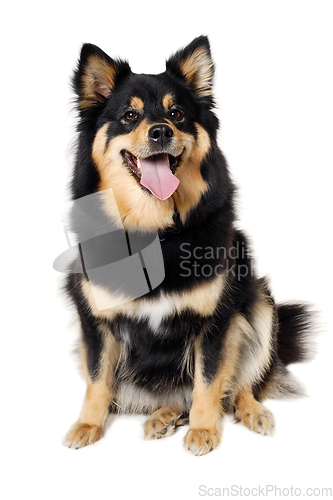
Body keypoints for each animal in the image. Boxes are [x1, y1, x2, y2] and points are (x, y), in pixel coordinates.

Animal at [62, 37, 312, 456]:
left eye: (176, 114)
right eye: (129, 116)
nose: (161, 132)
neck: (153, 229)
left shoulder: (215, 322)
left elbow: (208, 383)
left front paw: (204, 430)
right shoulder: (96, 320)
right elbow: (98, 380)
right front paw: (87, 424)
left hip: (259, 303)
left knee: (244, 382)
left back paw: (250, 410)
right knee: (165, 395)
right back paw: (163, 417)